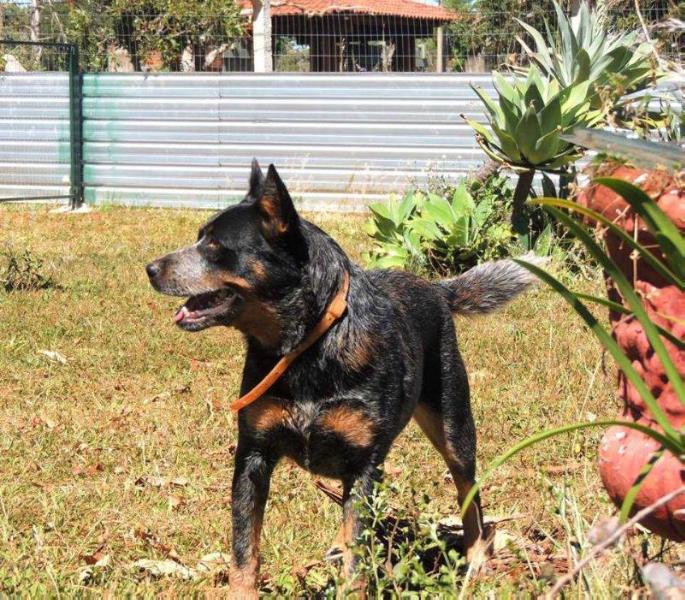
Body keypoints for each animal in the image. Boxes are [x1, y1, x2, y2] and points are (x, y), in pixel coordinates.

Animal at [146, 162, 540, 596]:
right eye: (200, 236)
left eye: (214, 245)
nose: (150, 268)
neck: (307, 346)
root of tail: (437, 288)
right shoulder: (252, 456)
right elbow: (244, 550)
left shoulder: (363, 463)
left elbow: (357, 558)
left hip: (454, 426)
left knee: (468, 492)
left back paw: (476, 559)